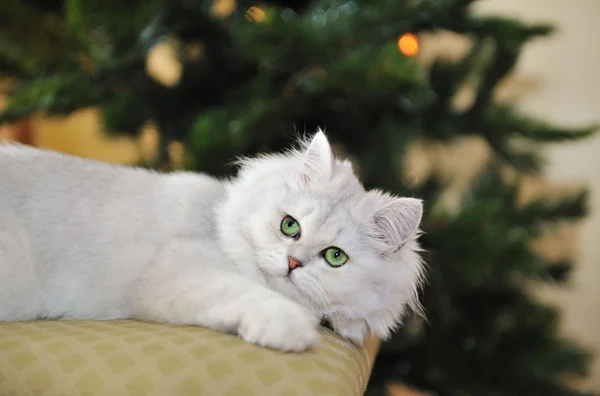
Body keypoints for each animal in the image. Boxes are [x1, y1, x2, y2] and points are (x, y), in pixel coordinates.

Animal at [0, 131, 424, 352]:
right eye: (290, 227)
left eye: (335, 257)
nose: (293, 263)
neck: (218, 217)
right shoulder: (179, 270)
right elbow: (250, 295)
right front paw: (292, 331)